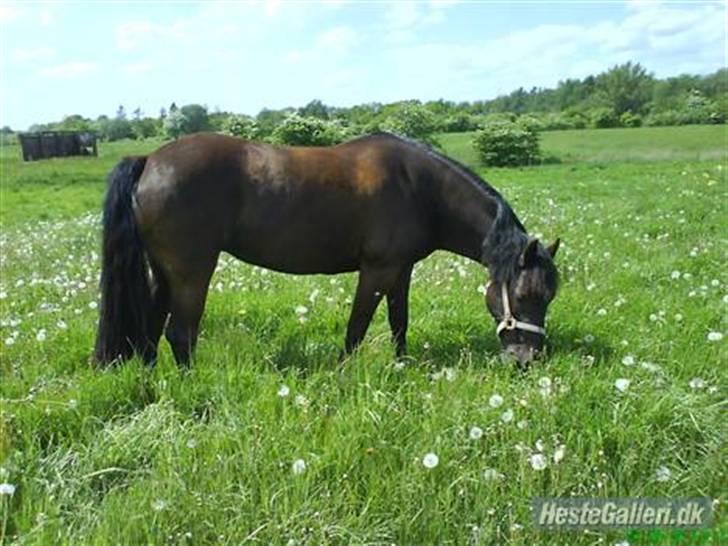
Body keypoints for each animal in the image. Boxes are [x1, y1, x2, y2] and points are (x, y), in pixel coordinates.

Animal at [94, 131, 560, 366]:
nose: (528, 359)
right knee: (180, 333)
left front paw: (401, 365)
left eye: (548, 297)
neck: (420, 188)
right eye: (524, 294)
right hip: (193, 272)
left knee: (151, 327)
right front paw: (345, 374)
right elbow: (357, 328)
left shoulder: (401, 270)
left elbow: (399, 322)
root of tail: (150, 160)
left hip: (164, 272)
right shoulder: (376, 271)